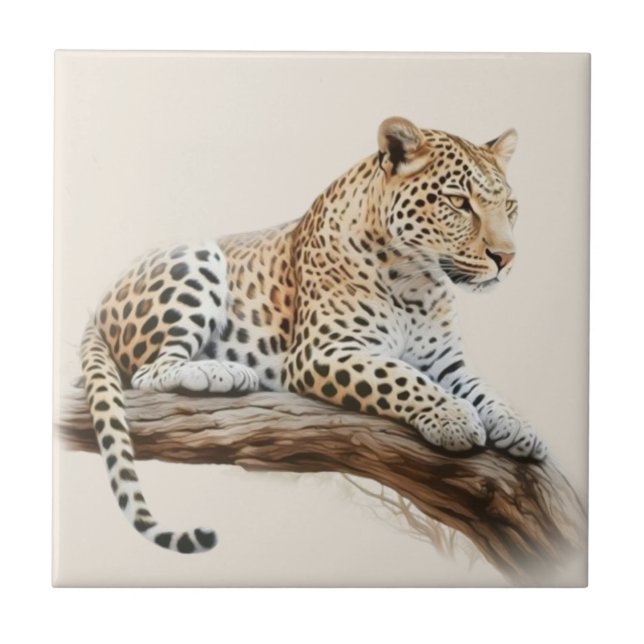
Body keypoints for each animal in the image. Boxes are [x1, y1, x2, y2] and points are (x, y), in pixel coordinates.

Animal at [80, 116, 547, 554]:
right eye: (458, 202)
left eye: (510, 205)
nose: (506, 258)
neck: (419, 282)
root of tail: (99, 302)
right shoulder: (322, 351)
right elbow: (400, 377)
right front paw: (452, 418)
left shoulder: (446, 362)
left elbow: (483, 390)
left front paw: (518, 427)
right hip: (197, 256)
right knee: (148, 371)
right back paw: (221, 372)